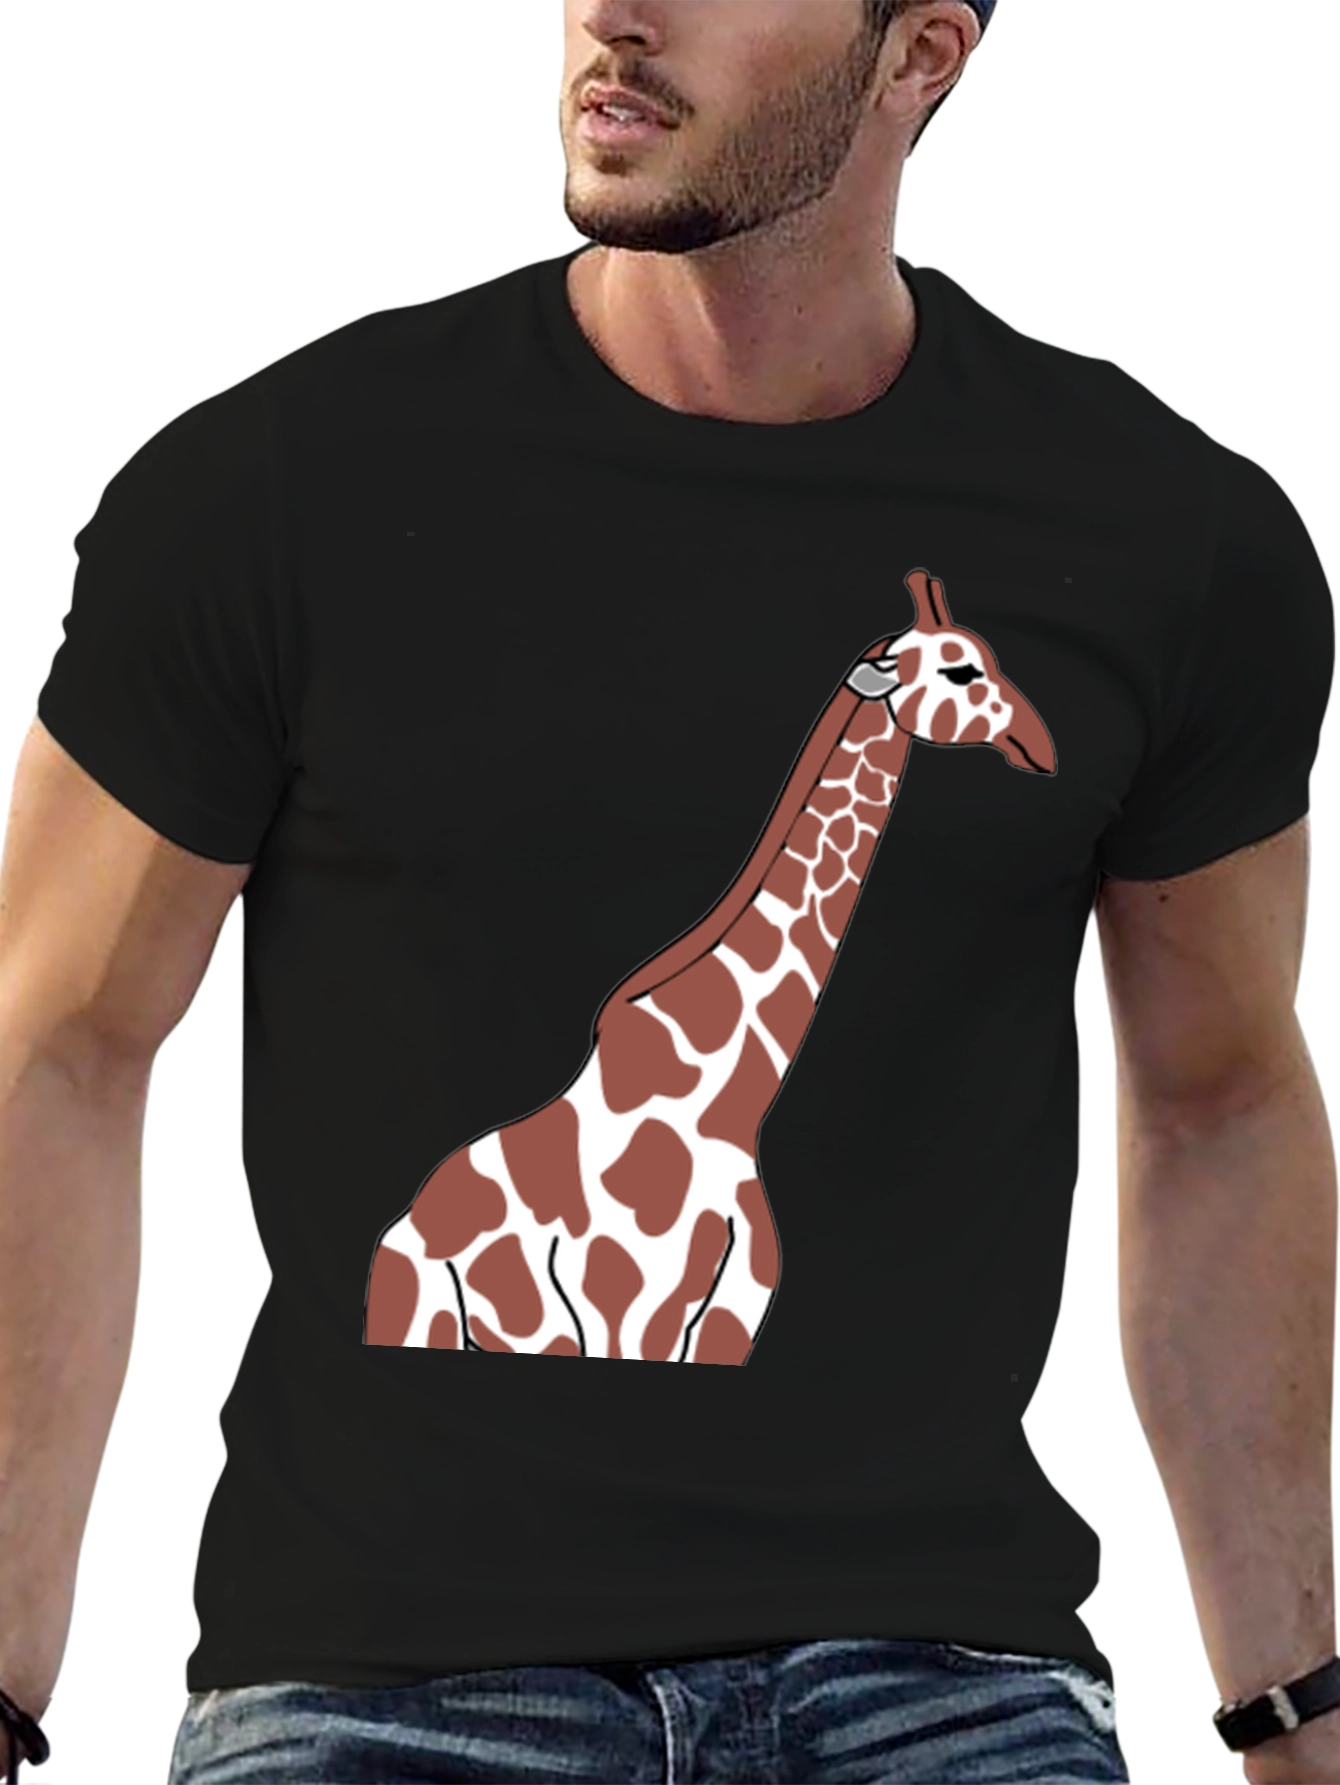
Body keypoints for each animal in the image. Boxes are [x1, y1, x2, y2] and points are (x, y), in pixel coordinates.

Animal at [364, 571, 1056, 1365]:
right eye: (960, 671)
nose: (1040, 746)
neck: (728, 1104)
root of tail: (403, 1227)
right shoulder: (627, 1315)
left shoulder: (731, 1319)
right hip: (420, 1316)